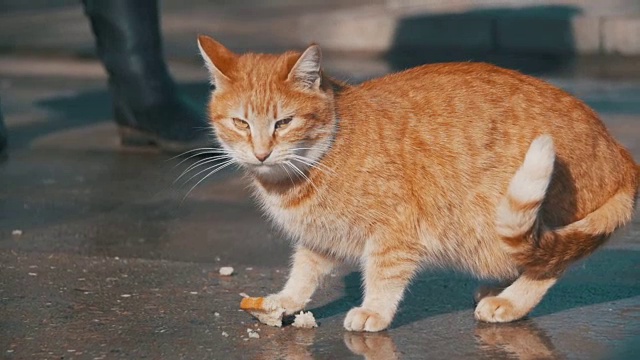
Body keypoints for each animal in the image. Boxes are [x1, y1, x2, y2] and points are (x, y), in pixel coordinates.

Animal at [198, 35, 636, 330]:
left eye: (284, 122)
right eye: (241, 122)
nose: (261, 153)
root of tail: (621, 153)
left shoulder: (394, 233)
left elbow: (384, 275)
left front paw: (374, 310)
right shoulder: (321, 235)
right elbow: (304, 272)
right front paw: (286, 301)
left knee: (550, 263)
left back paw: (510, 302)